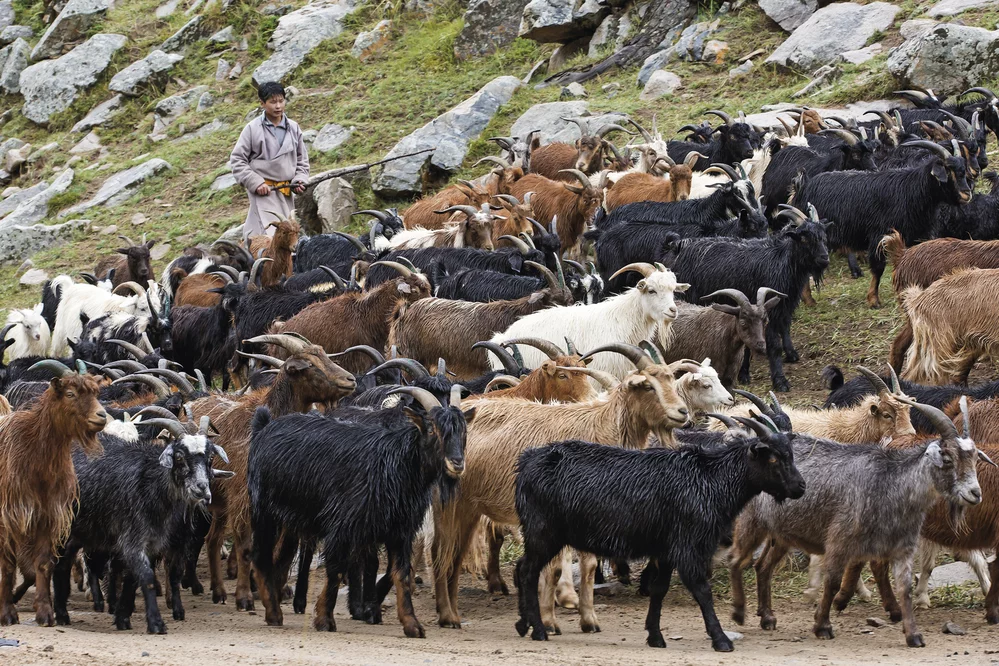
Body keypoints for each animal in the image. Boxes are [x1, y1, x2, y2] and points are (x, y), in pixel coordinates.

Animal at [0, 360, 107, 624]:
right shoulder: (9, 516)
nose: (101, 416)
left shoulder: (48, 516)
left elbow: (42, 565)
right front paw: (7, 612)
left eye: (95, 393)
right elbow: (8, 566)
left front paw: (45, 613)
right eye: (70, 394)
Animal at [248, 382, 470, 632]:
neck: (393, 464)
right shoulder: (342, 525)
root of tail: (264, 428)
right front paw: (325, 619)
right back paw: (274, 614)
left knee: (281, 559)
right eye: (432, 429)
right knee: (260, 556)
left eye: (463, 431)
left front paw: (412, 624)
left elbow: (400, 573)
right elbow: (336, 570)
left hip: (292, 519)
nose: (457, 463)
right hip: (264, 511)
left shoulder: (400, 531)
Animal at [516, 416, 804, 648]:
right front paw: (721, 639)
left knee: (522, 566)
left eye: (790, 453)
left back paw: (523, 623)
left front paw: (655, 636)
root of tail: (526, 462)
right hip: (543, 532)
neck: (709, 480)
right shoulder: (687, 546)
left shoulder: (666, 550)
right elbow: (702, 589)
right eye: (773, 457)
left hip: (539, 534)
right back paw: (539, 630)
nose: (800, 487)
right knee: (528, 571)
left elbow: (659, 590)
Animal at [732, 396, 988, 644]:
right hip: (752, 524)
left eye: (975, 457)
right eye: (947, 458)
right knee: (737, 560)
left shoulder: (902, 548)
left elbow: (904, 588)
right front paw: (823, 625)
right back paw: (739, 613)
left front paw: (913, 635)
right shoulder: (839, 541)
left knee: (763, 566)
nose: (975, 493)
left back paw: (767, 617)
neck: (890, 485)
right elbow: (833, 581)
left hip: (783, 534)